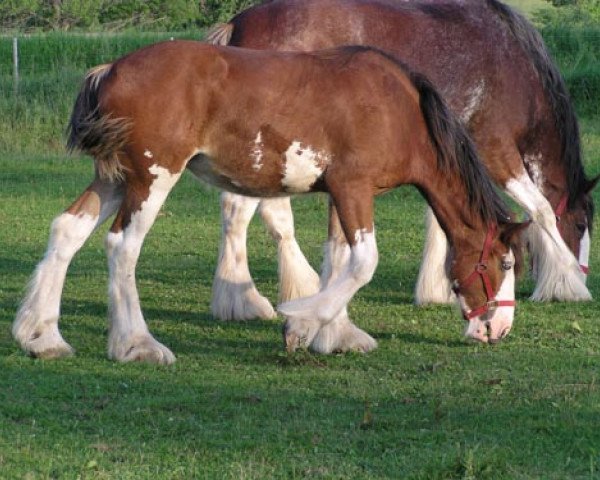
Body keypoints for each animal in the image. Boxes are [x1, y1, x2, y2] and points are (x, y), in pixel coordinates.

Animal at [11, 42, 524, 364]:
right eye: (505, 263)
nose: (498, 330)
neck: (398, 110)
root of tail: (111, 69)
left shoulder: (341, 195)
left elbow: (340, 262)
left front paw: (335, 334)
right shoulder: (353, 189)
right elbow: (362, 265)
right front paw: (300, 325)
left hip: (115, 178)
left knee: (67, 230)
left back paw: (41, 336)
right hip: (152, 179)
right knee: (122, 247)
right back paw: (137, 345)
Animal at [205, 0, 596, 326]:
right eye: (580, 226)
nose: (584, 271)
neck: (512, 63)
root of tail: (237, 24)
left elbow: (439, 222)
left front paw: (434, 288)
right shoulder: (495, 152)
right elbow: (543, 210)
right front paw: (569, 283)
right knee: (241, 212)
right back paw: (248, 301)